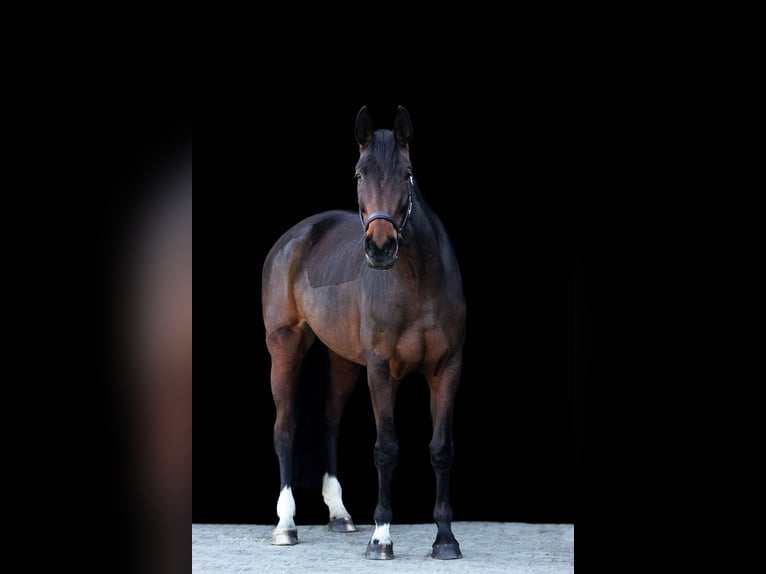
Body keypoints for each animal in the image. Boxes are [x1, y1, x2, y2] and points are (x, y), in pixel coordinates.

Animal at [261, 105, 466, 560]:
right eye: (359, 174)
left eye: (408, 173)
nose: (380, 247)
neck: (417, 283)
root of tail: (291, 238)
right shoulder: (380, 369)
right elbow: (386, 449)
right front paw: (381, 537)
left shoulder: (447, 368)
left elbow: (442, 450)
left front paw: (445, 539)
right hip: (285, 344)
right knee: (285, 427)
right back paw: (286, 525)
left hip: (341, 358)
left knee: (329, 420)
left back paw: (340, 515)